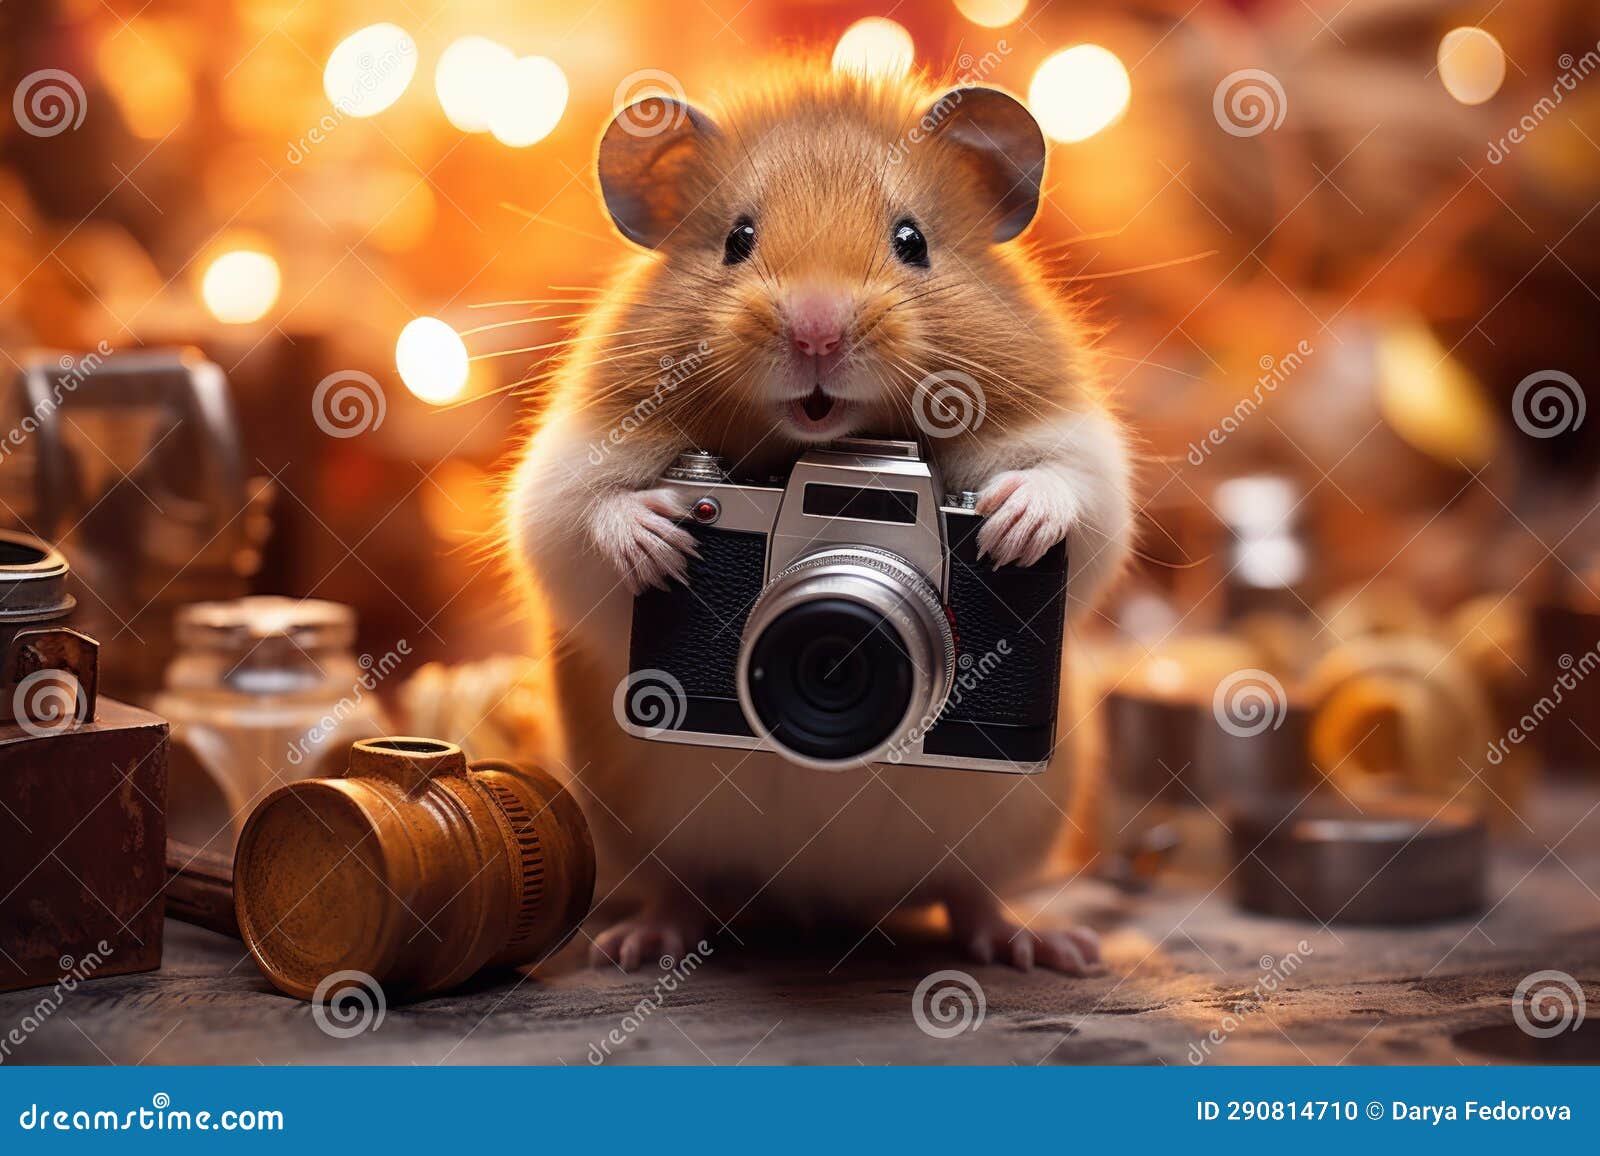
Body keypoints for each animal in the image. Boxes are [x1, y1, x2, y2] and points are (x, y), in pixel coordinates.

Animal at [507, 65, 1134, 973]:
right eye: (737, 238)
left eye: (912, 240)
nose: (815, 330)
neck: (835, 444)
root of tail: (820, 900)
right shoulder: (566, 469)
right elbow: (582, 519)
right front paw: (658, 537)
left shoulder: (1082, 452)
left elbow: (1072, 490)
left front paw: (1013, 522)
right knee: (683, 887)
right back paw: (639, 943)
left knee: (970, 894)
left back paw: (1046, 946)